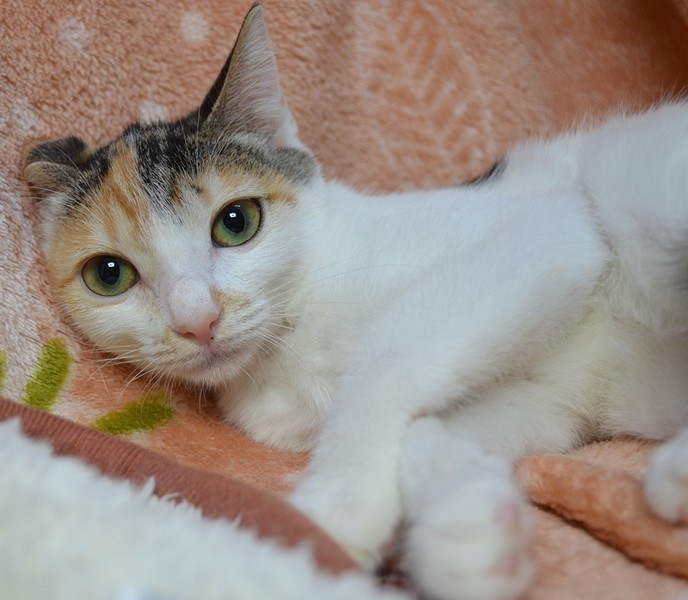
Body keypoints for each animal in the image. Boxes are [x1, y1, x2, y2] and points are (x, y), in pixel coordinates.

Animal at [23, 5, 688, 600]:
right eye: (110, 275)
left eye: (236, 223)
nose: (198, 322)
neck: (290, 346)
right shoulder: (552, 400)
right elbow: (433, 427)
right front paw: (468, 531)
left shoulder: (548, 231)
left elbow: (387, 360)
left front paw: (334, 511)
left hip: (634, 186)